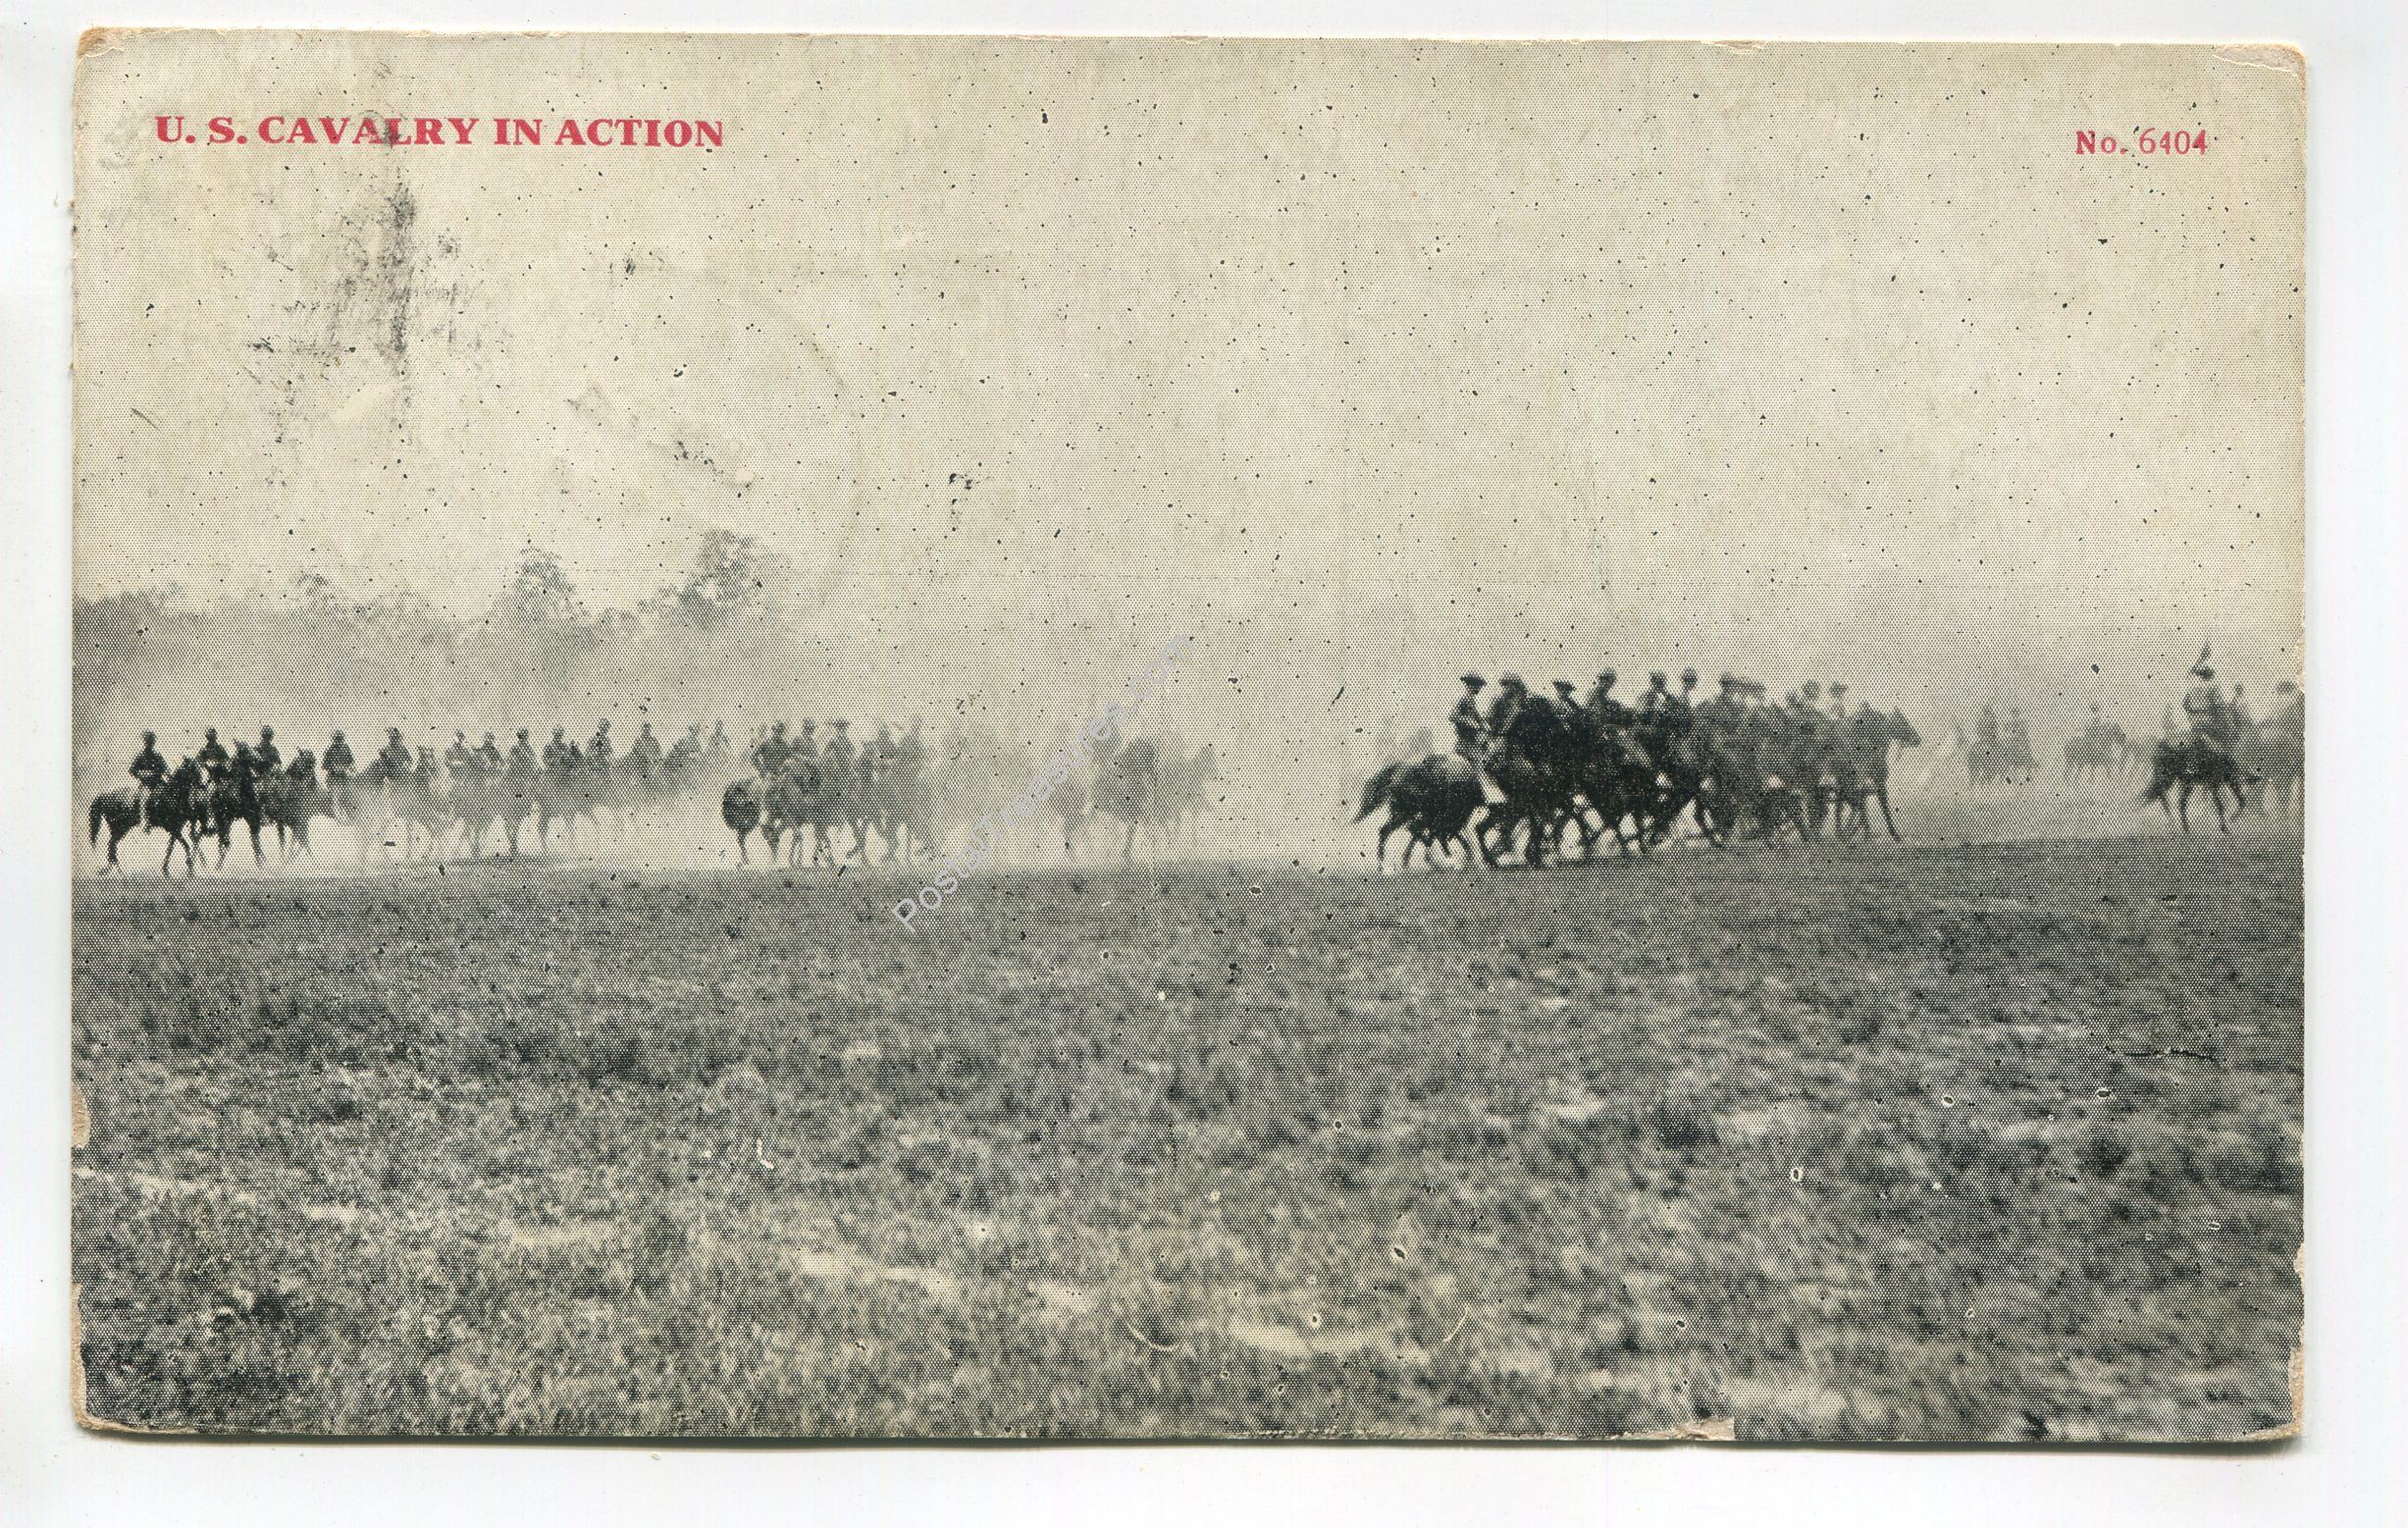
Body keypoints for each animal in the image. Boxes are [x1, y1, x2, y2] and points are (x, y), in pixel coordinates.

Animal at [1356, 753, 1486, 870]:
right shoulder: (1439, 819)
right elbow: (1430, 834)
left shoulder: (1440, 819)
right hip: (1405, 814)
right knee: (1397, 830)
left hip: (1403, 814)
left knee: (1386, 831)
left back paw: (1384, 865)